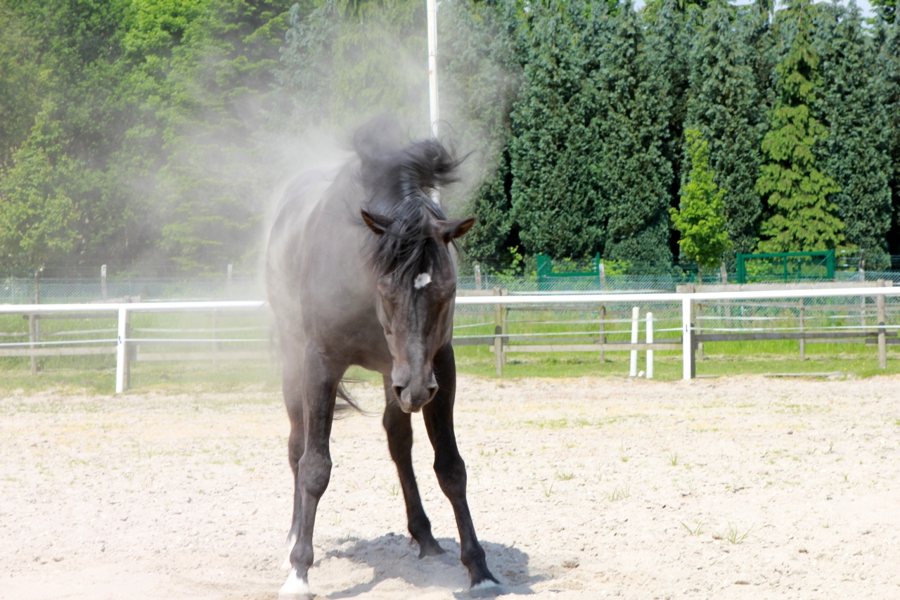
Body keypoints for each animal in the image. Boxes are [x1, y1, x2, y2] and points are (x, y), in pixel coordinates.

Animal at [265, 118, 499, 598]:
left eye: (447, 291)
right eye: (387, 290)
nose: (418, 389)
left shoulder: (438, 365)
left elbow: (450, 466)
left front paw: (479, 568)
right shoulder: (321, 364)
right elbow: (315, 465)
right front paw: (299, 571)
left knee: (398, 440)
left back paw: (425, 536)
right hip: (298, 361)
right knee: (297, 445)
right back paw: (293, 540)